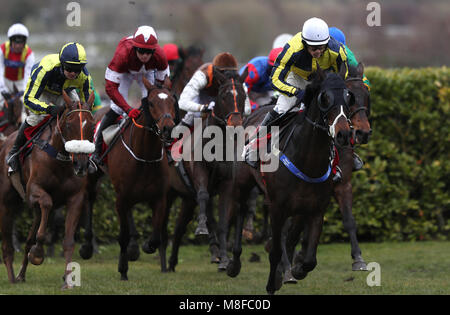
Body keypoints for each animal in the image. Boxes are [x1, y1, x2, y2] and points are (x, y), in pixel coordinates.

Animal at [0, 90, 95, 288]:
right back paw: (12, 277)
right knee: (7, 244)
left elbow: (68, 241)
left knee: (30, 237)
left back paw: (21, 275)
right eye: (69, 124)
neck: (59, 159)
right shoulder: (33, 191)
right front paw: (38, 253)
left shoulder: (76, 198)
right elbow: (46, 205)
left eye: (91, 125)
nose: (81, 165)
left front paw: (68, 280)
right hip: (6, 202)